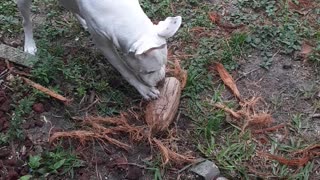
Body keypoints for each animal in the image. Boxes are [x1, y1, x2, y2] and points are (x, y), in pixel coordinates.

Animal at [16, 0, 182, 100]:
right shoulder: (105, 46)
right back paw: (29, 45)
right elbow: (125, 70)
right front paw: (143, 89)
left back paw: (83, 22)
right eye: (149, 71)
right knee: (26, 21)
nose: (161, 81)